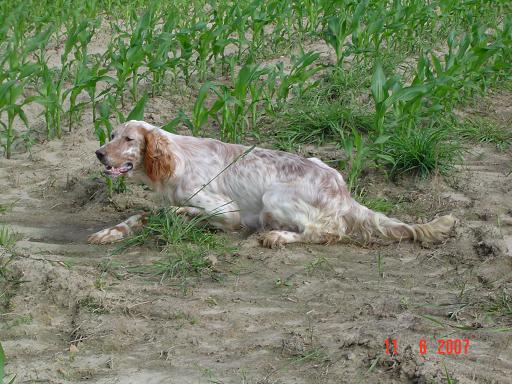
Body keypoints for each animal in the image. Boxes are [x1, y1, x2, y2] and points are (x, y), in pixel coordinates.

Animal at [89, 119, 456, 249]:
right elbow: (138, 216)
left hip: (273, 198)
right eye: (111, 135)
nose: (98, 153)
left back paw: (276, 236)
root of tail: (342, 192)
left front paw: (180, 216)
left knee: (325, 232)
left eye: (129, 139)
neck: (175, 159)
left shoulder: (227, 212)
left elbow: (177, 213)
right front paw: (108, 232)